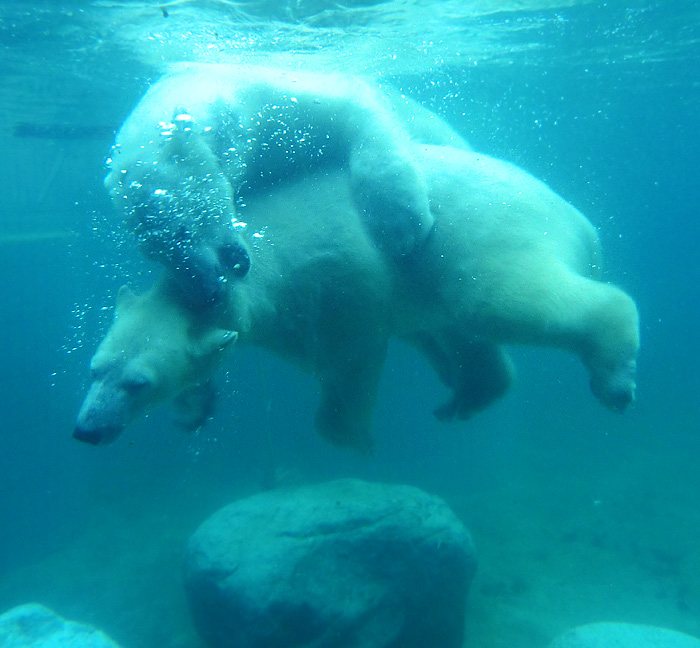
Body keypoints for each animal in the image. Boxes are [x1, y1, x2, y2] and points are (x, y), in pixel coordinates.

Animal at [75, 144, 640, 448]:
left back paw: (614, 380)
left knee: (504, 302)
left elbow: (347, 359)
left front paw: (347, 435)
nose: (87, 430)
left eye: (138, 383)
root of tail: (583, 225)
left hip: (488, 231)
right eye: (95, 370)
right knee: (459, 330)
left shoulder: (323, 288)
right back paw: (462, 398)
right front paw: (192, 409)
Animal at [105, 65, 464, 306]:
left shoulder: (286, 103)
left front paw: (404, 228)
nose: (208, 293)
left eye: (182, 230)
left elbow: (361, 117)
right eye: (155, 254)